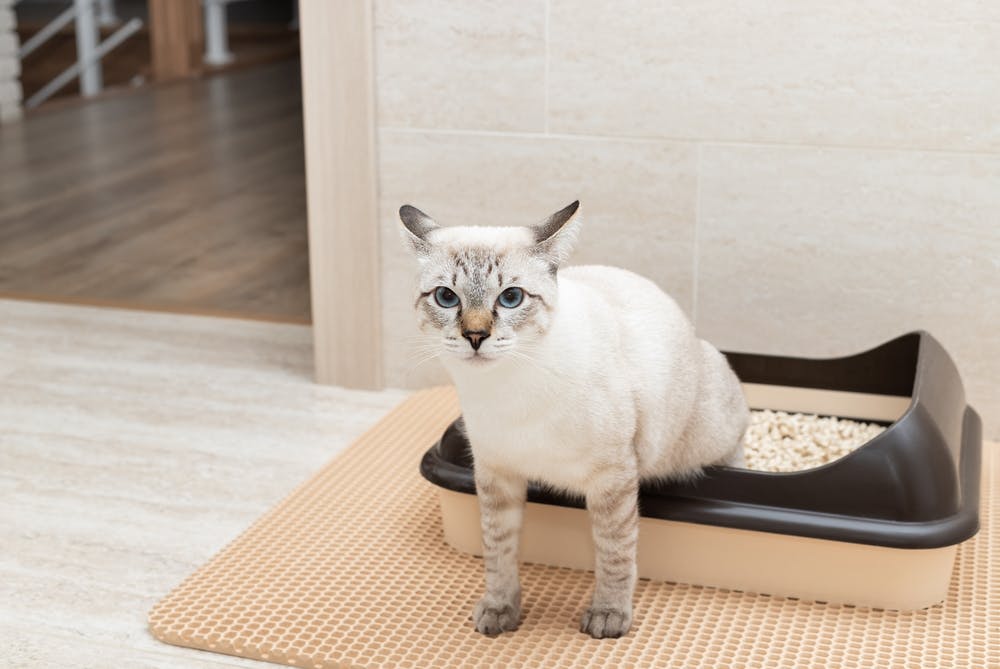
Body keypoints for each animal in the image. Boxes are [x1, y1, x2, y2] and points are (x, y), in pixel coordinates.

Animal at [402, 201, 748, 640]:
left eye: (511, 298)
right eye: (447, 297)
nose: (476, 336)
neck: (505, 389)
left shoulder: (612, 478)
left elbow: (614, 552)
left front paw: (608, 617)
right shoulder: (496, 474)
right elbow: (499, 552)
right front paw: (500, 611)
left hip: (711, 433)